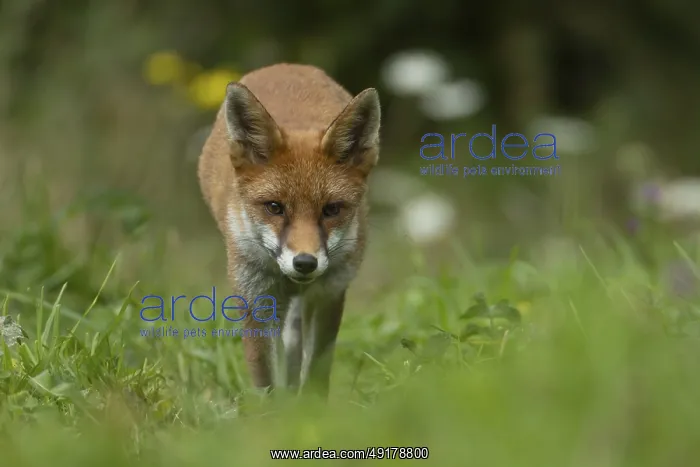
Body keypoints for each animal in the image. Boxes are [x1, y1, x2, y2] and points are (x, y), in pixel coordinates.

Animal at [197, 63, 381, 398]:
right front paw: (275, 411)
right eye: (274, 207)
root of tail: (287, 65)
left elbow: (317, 371)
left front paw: (310, 408)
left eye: (331, 210)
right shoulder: (256, 298)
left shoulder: (331, 292)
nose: (305, 263)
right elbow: (265, 379)